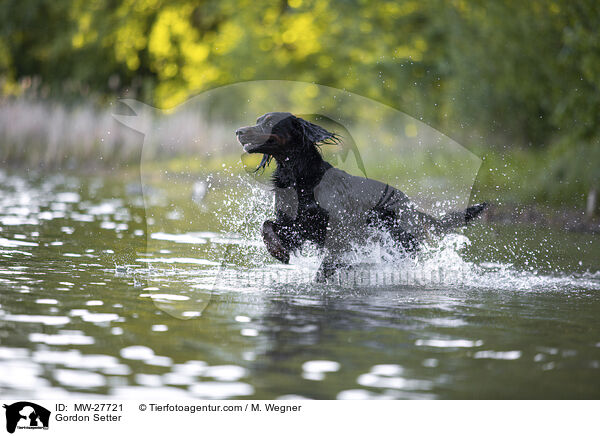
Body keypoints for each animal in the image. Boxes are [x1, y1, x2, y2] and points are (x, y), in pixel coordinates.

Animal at [236, 112, 488, 282]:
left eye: (268, 122)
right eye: (258, 120)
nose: (238, 131)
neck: (302, 180)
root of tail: (410, 206)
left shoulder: (339, 230)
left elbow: (329, 262)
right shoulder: (296, 226)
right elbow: (267, 225)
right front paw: (278, 251)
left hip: (398, 241)